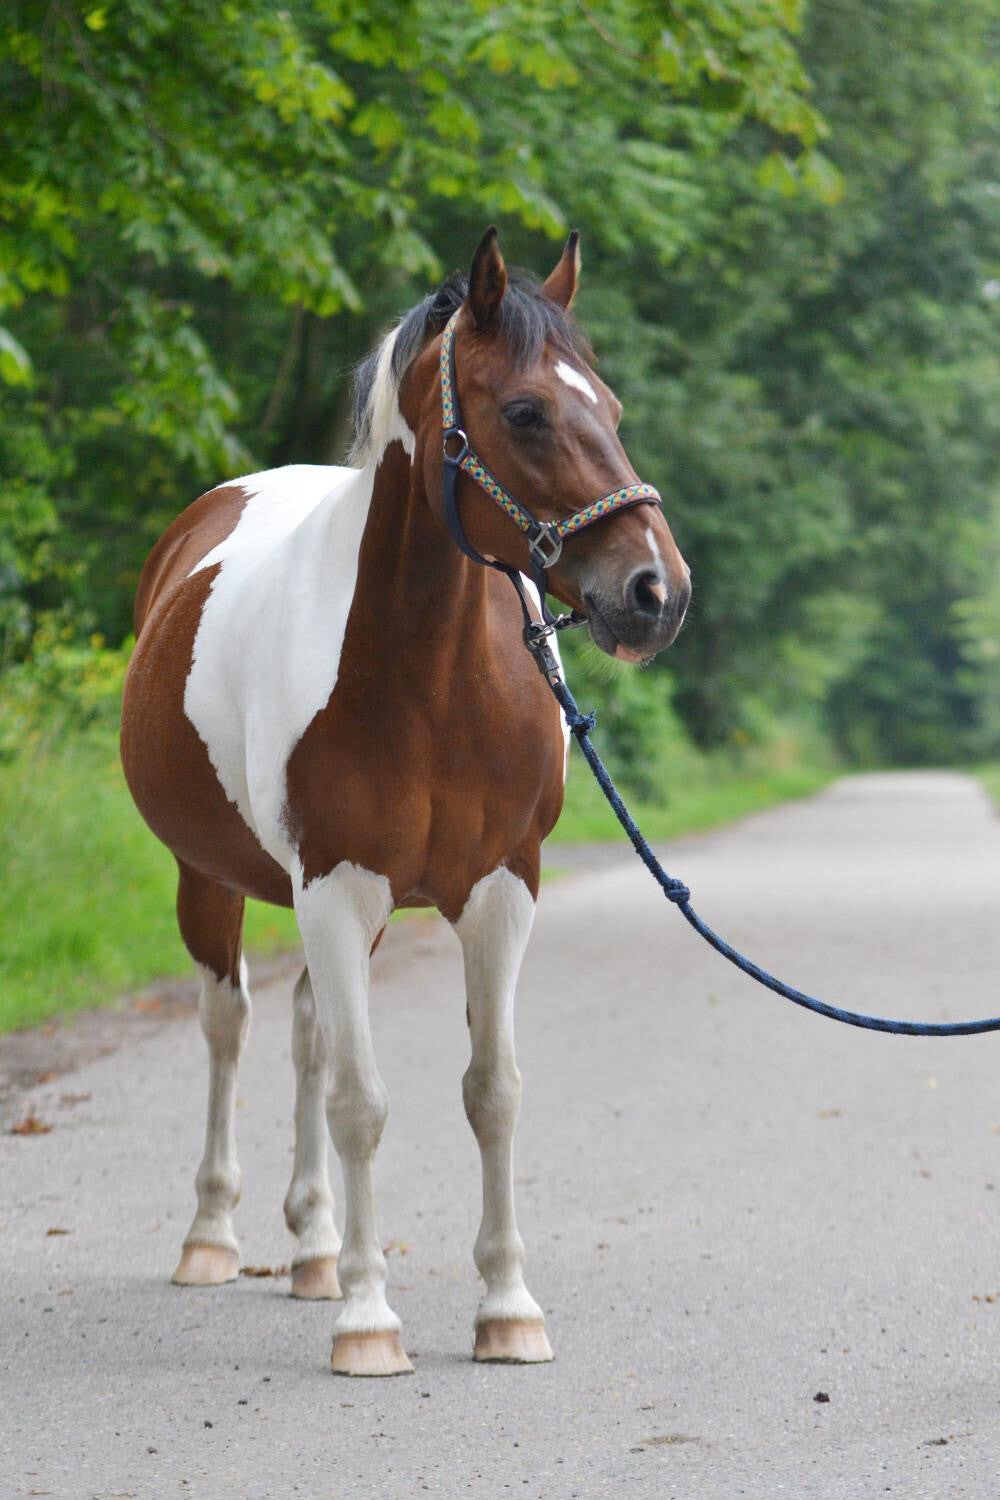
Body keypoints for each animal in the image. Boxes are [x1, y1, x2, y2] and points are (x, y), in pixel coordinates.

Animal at [120, 227, 690, 1377]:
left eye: (608, 407)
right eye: (526, 412)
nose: (657, 593)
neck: (426, 675)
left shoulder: (499, 890)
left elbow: (491, 1091)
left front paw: (507, 1309)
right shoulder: (335, 887)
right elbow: (361, 1101)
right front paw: (368, 1321)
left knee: (302, 1029)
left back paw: (312, 1251)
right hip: (216, 881)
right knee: (231, 1025)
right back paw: (216, 1237)